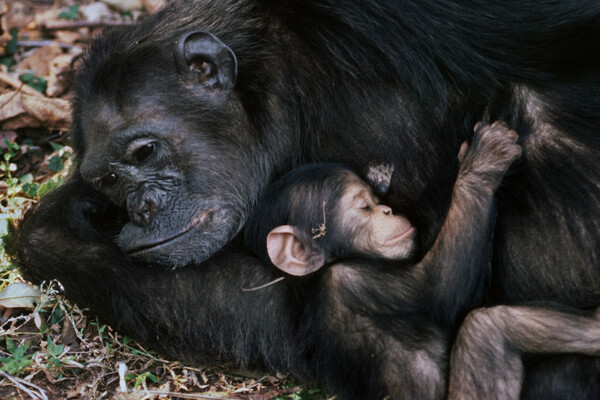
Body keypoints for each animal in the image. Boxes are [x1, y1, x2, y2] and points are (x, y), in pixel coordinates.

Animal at [245, 122, 600, 400]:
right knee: (485, 327)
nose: (387, 209)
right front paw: (483, 161)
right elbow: (439, 288)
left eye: (376, 199)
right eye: (364, 207)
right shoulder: (351, 280)